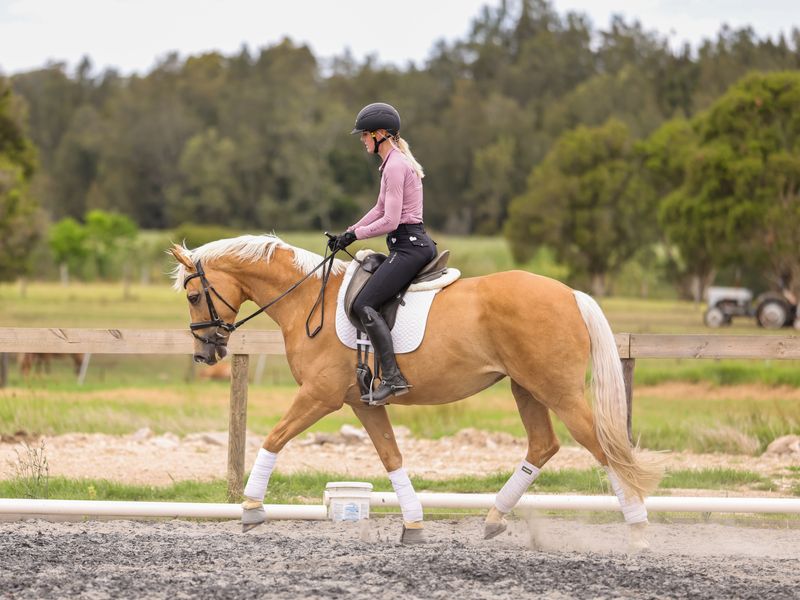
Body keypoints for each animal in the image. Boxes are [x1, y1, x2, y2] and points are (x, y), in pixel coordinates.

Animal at [170, 234, 663, 549]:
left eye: (193, 296)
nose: (205, 353)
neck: (308, 299)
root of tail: (571, 294)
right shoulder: (362, 403)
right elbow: (391, 457)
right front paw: (414, 524)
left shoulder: (319, 395)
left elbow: (274, 437)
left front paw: (251, 508)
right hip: (526, 387)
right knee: (544, 445)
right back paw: (494, 518)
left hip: (557, 390)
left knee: (602, 447)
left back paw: (639, 531)